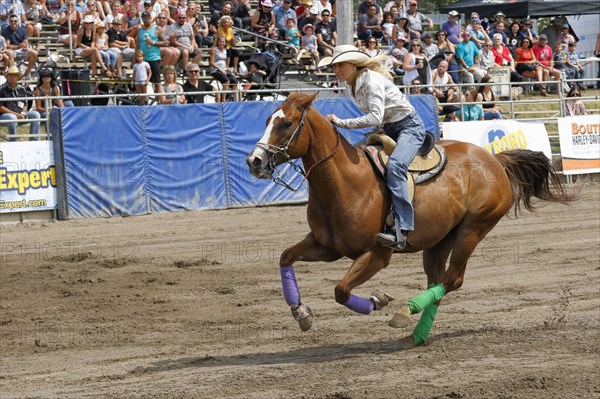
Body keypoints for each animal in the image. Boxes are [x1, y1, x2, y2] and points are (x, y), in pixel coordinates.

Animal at [245, 93, 576, 346]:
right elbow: (286, 257)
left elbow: (341, 290)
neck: (348, 182)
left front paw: (378, 300)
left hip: (473, 229)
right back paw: (416, 334)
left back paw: (405, 312)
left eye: (286, 123)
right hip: (439, 241)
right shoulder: (326, 248)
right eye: (267, 120)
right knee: (438, 282)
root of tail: (495, 159)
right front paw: (301, 313)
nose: (254, 161)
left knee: (452, 280)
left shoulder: (377, 254)